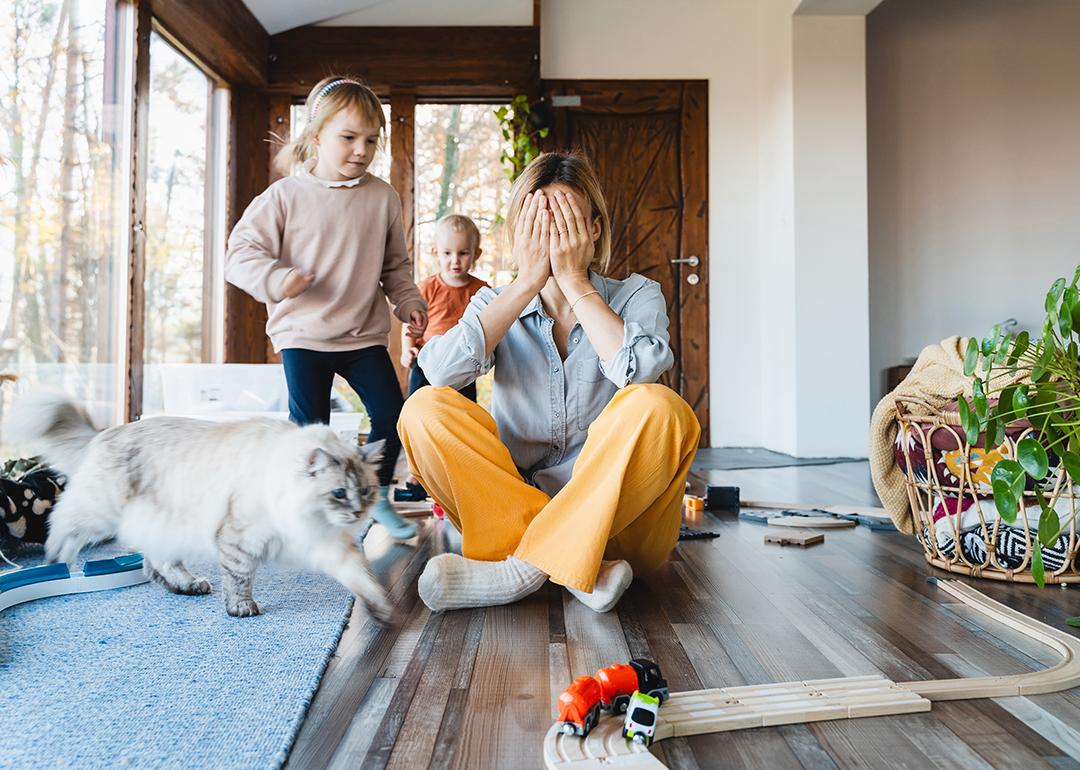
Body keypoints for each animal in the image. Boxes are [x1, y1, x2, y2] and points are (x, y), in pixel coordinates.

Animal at [5, 390, 393, 617]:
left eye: (366, 491)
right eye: (339, 493)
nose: (358, 513)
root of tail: (107, 432)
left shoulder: (328, 543)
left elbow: (360, 576)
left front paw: (381, 609)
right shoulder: (239, 539)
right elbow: (239, 579)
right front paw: (241, 608)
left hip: (167, 527)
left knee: (154, 564)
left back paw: (187, 586)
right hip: (99, 511)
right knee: (63, 524)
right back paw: (58, 563)